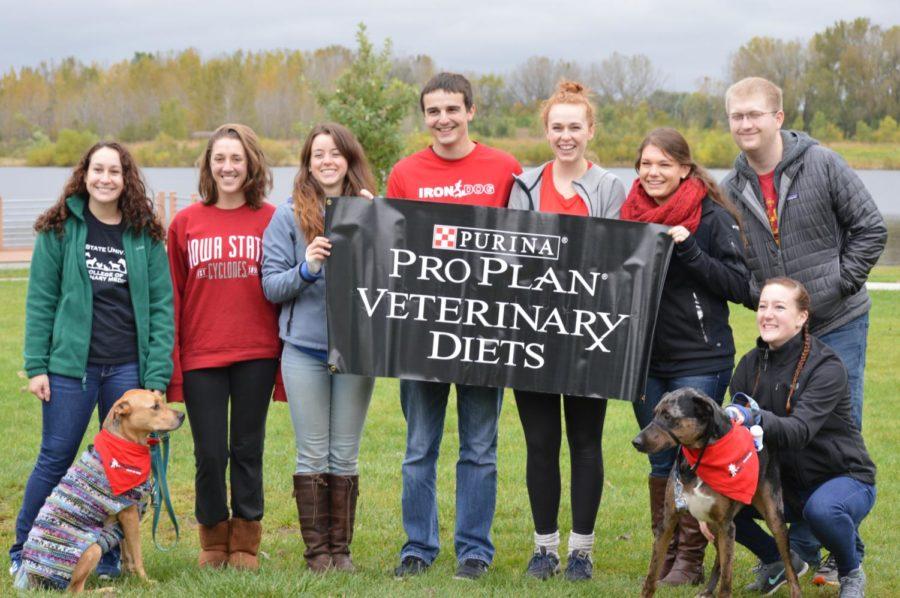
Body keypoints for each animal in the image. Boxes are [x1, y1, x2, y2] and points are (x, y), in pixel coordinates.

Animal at [15, 392, 185, 592]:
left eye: (162, 401)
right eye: (155, 407)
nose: (182, 416)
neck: (125, 442)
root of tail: (35, 577)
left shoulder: (124, 518)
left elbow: (128, 552)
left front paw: (131, 576)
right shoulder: (129, 514)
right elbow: (137, 553)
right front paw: (145, 581)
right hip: (92, 550)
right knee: (74, 591)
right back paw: (106, 591)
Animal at [628, 390, 800, 598]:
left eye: (668, 416)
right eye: (654, 413)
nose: (636, 442)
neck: (698, 460)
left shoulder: (727, 525)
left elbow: (726, 582)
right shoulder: (668, 522)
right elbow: (651, 575)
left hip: (772, 517)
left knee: (788, 564)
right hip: (711, 523)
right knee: (720, 558)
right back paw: (708, 590)